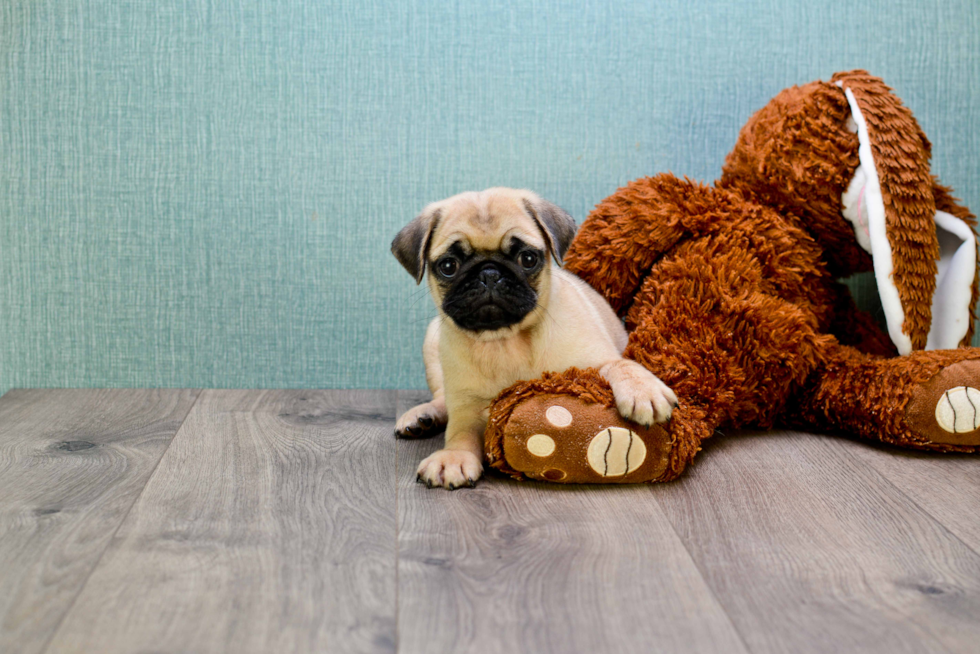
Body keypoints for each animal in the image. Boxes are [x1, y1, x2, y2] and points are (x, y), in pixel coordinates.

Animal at [390, 187, 672, 490]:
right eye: (448, 266)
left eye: (527, 259)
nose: (489, 273)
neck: (506, 341)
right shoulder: (466, 405)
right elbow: (459, 432)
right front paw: (453, 456)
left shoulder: (598, 361)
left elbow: (622, 366)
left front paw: (644, 391)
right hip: (432, 342)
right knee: (442, 397)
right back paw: (423, 416)